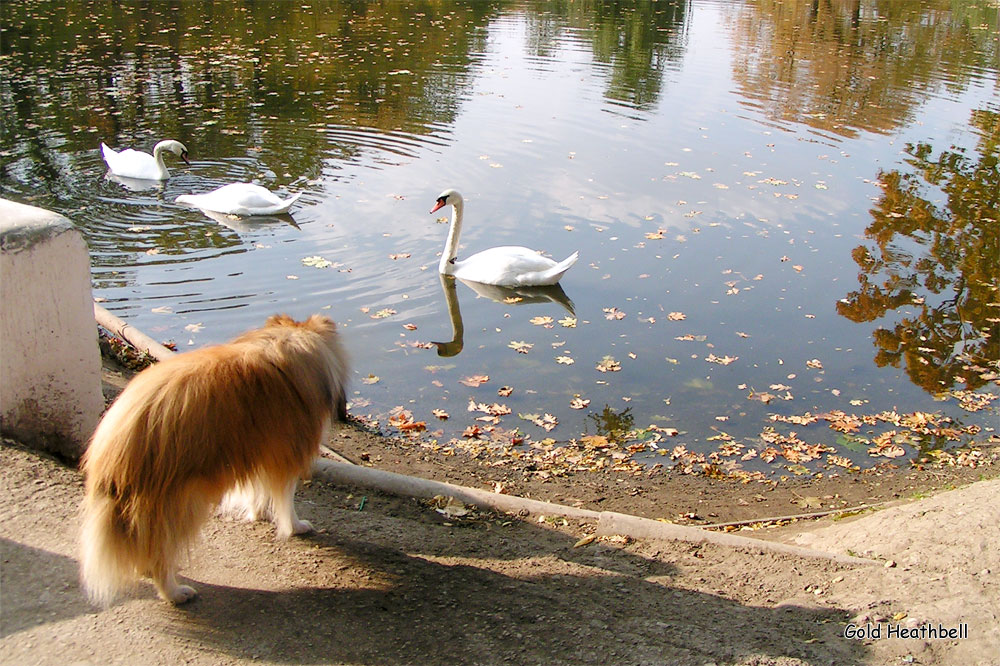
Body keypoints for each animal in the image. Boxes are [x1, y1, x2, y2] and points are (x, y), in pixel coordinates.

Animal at [77, 314, 348, 604]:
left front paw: (259, 513)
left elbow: (257, 488)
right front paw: (296, 526)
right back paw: (175, 592)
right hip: (181, 501)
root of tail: (119, 437)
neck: (286, 339)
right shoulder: (288, 454)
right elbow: (286, 500)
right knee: (161, 552)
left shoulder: (258, 450)